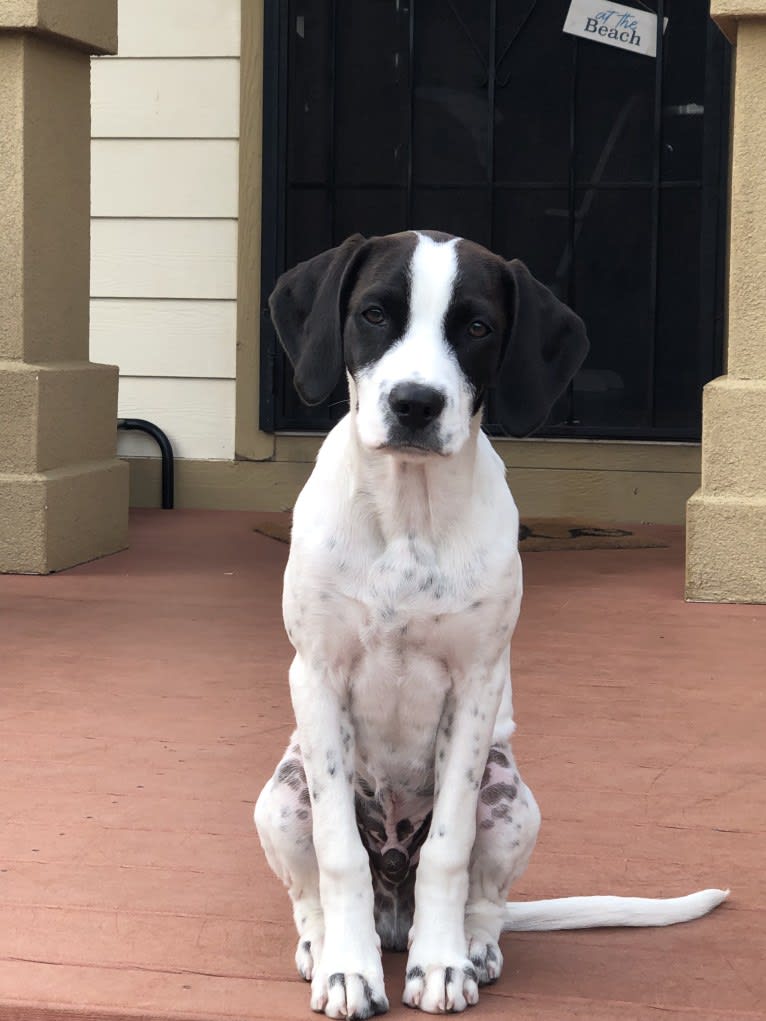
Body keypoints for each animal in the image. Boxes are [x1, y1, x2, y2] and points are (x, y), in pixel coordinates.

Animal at [255, 233, 727, 1021]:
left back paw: (469, 947)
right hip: (282, 796)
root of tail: (395, 914)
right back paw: (325, 948)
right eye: (374, 313)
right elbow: (338, 853)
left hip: (510, 797)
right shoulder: (315, 673)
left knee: (484, 898)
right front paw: (350, 972)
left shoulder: (476, 683)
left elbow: (448, 850)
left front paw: (442, 966)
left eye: (476, 326)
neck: (409, 516)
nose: (415, 403)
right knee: (313, 888)